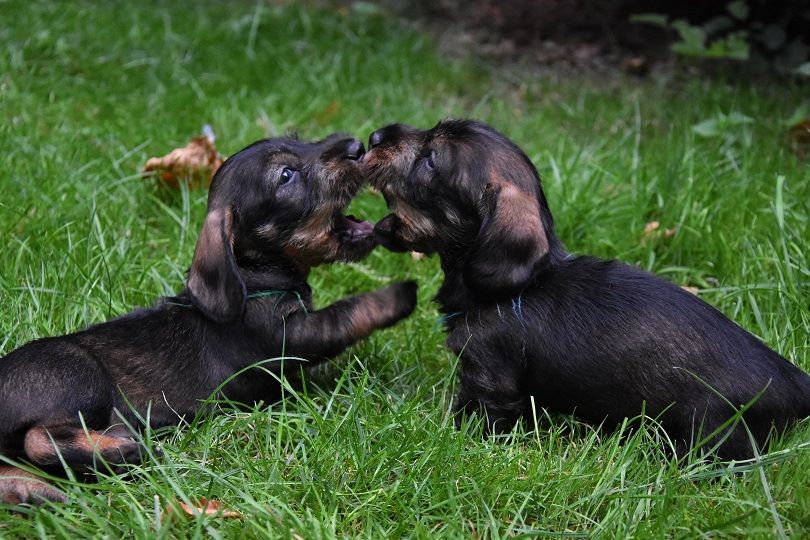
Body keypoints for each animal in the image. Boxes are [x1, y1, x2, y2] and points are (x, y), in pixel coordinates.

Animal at [0, 134, 417, 504]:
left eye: (301, 139)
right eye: (286, 175)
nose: (356, 146)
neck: (254, 277)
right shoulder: (292, 336)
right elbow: (348, 312)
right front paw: (400, 294)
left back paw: (39, 490)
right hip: (84, 377)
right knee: (38, 440)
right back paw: (126, 450)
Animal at [362, 119, 810, 461]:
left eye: (430, 159)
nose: (376, 135)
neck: (519, 288)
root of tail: (794, 384)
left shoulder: (489, 378)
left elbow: (474, 415)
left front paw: (453, 437)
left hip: (711, 431)